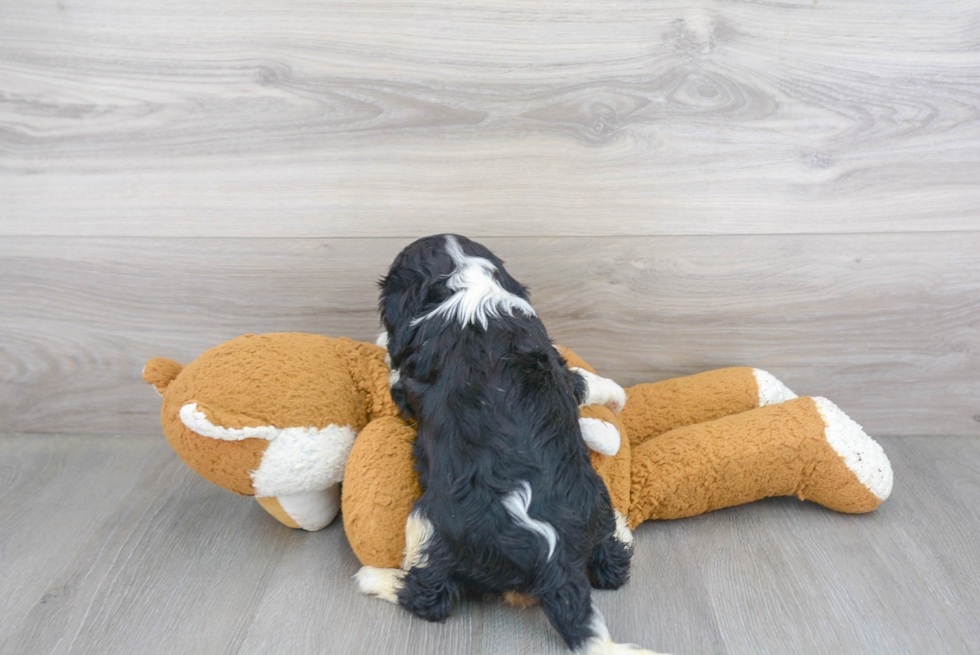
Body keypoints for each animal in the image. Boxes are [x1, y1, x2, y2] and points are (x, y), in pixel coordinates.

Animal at [356, 236, 664, 655]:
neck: (466, 285)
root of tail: (550, 557)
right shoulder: (555, 365)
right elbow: (583, 379)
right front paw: (616, 398)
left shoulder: (406, 380)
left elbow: (395, 364)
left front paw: (381, 340)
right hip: (595, 496)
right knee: (613, 566)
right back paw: (621, 529)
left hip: (429, 523)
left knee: (430, 596)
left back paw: (371, 577)